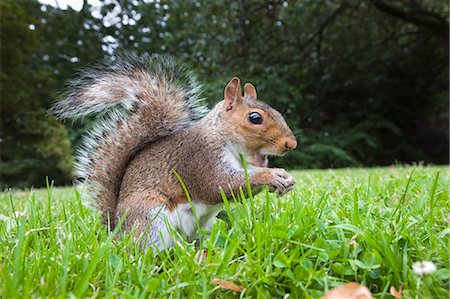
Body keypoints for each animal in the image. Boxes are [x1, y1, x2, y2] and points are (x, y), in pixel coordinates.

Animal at [51, 53, 298, 251]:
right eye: (254, 118)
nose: (291, 144)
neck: (225, 140)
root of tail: (118, 231)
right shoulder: (200, 159)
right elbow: (220, 185)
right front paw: (272, 175)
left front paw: (286, 179)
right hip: (152, 220)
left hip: (200, 227)